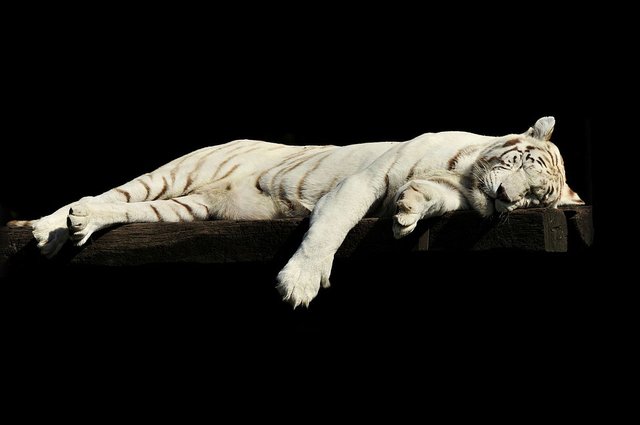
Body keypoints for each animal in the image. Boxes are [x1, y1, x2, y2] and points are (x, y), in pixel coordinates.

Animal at [7, 116, 584, 307]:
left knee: (126, 212)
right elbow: (329, 228)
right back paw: (49, 228)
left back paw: (81, 226)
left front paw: (406, 213)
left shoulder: (458, 194)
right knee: (109, 194)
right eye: (523, 163)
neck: (465, 178)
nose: (507, 198)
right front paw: (300, 283)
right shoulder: (363, 180)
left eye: (536, 198)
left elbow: (427, 196)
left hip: (184, 209)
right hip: (173, 174)